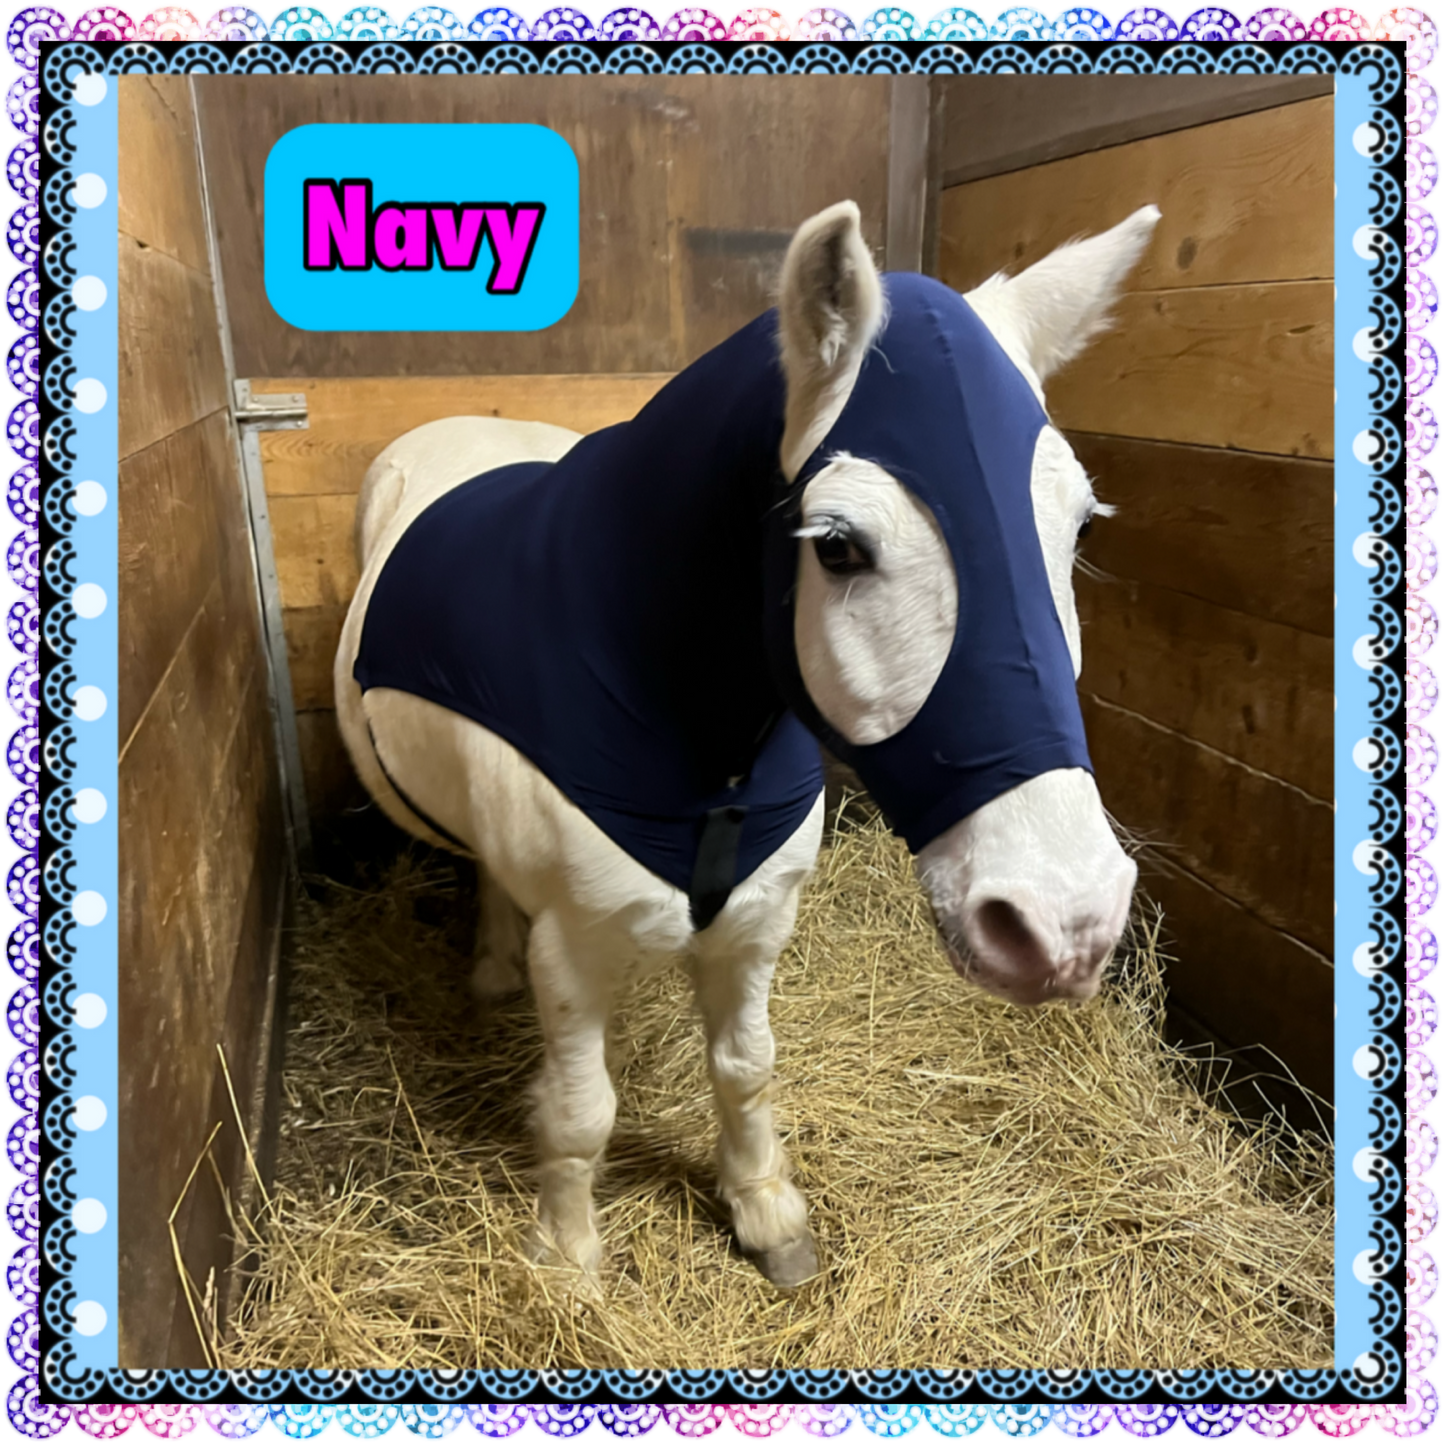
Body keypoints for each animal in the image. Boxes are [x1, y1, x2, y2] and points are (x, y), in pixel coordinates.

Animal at [334, 199, 1156, 1294]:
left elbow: (745, 1067)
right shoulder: (576, 947)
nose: (1065, 923)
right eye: (837, 544)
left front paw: (765, 1213)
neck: (700, 747)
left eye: (1075, 529)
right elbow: (581, 1110)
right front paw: (569, 1263)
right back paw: (492, 970)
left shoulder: (758, 920)